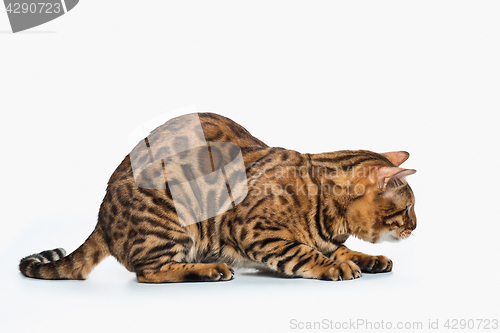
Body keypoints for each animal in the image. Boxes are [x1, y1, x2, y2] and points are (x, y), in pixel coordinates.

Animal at [19, 113, 416, 282]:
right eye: (409, 208)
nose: (415, 226)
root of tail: (100, 219)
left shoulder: (326, 238)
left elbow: (343, 249)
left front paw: (367, 258)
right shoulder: (253, 228)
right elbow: (304, 253)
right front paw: (334, 266)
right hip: (170, 216)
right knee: (149, 272)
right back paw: (207, 269)